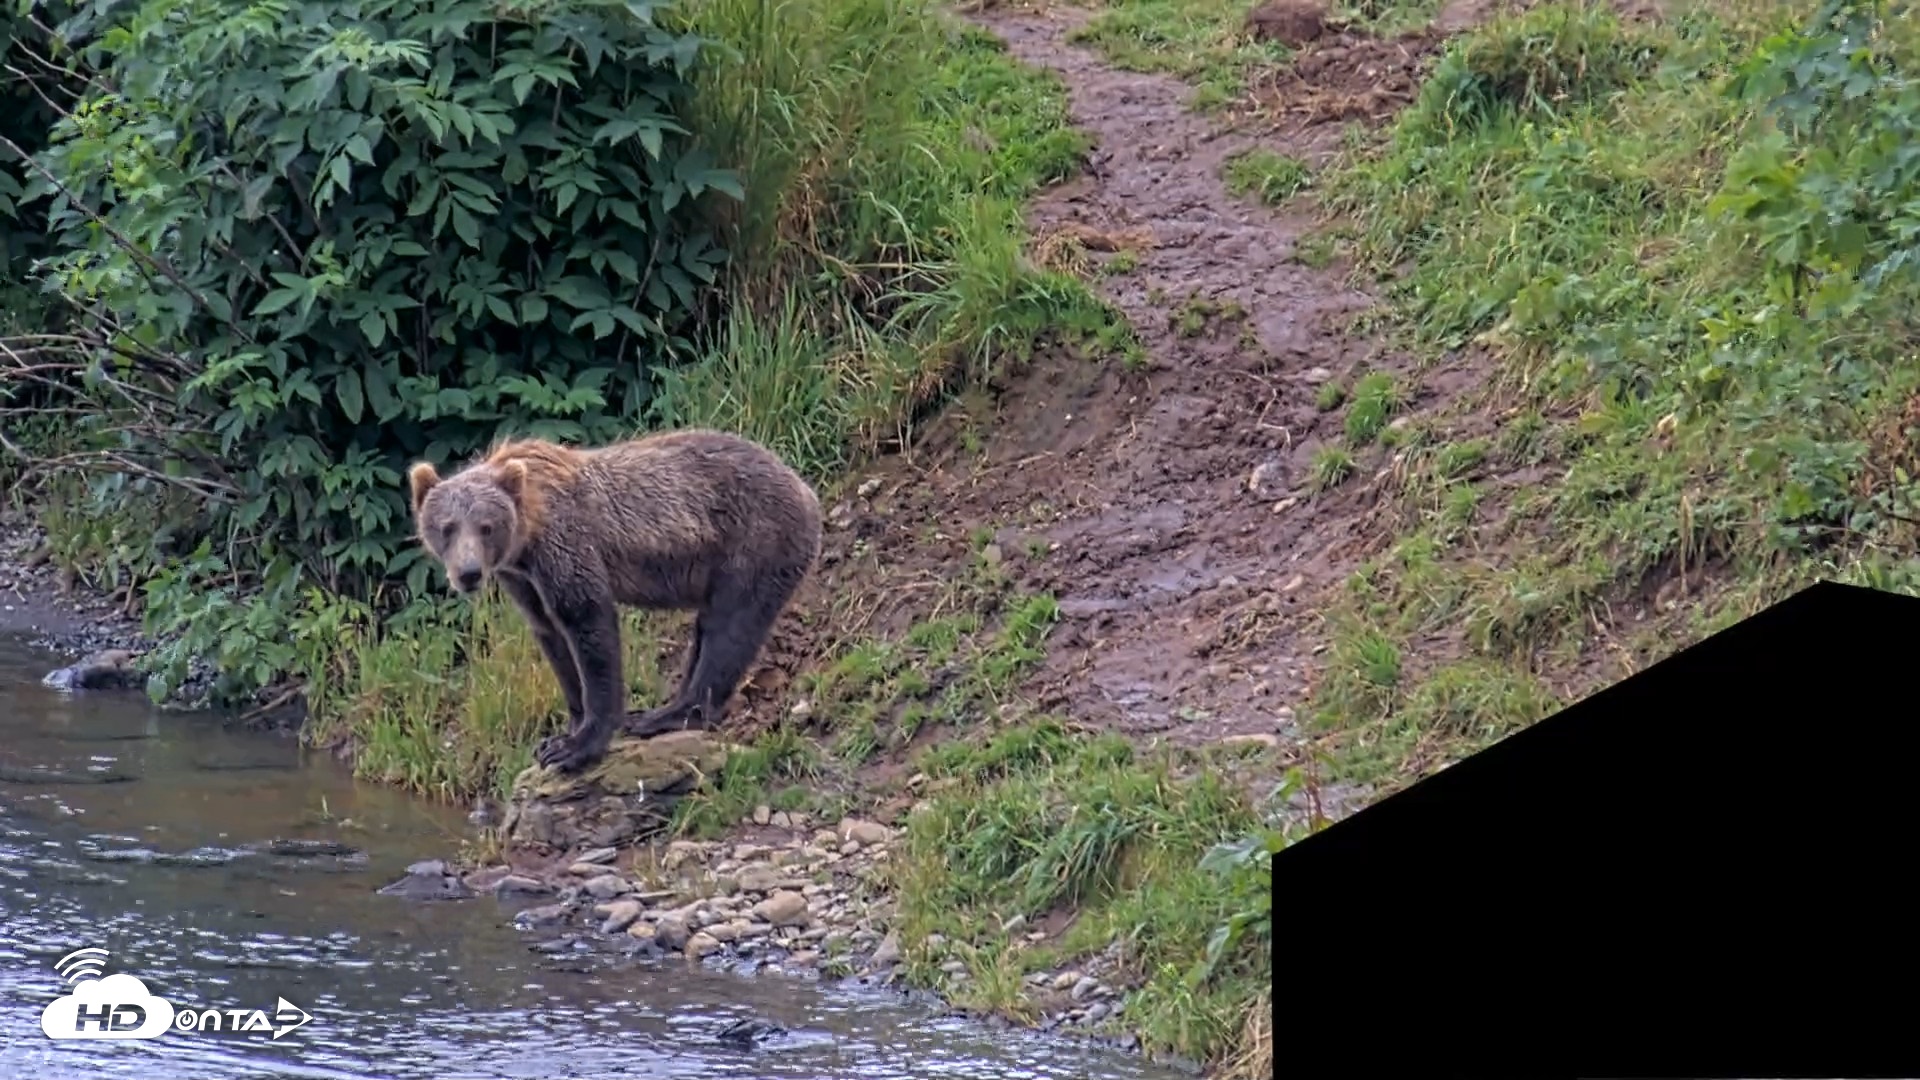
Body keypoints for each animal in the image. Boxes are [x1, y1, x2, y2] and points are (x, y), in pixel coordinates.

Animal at [405, 428, 824, 774]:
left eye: (486, 526)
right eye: (447, 527)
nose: (469, 573)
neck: (528, 535)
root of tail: (806, 488)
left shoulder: (565, 545)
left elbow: (589, 624)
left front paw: (576, 747)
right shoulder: (523, 580)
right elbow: (551, 636)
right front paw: (562, 730)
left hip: (753, 543)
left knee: (730, 627)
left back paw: (669, 715)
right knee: (708, 628)